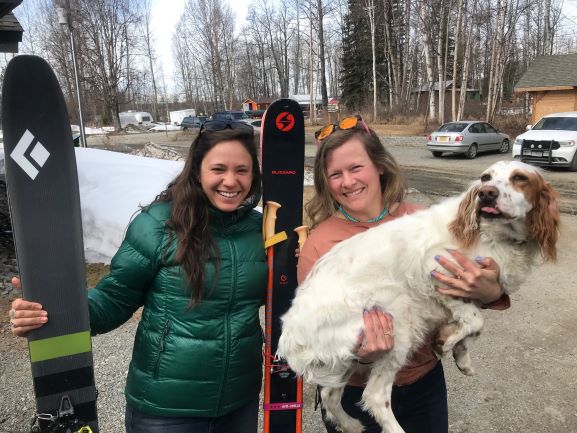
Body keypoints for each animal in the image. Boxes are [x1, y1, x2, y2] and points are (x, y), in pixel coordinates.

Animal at [276, 160, 560, 430]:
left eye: (519, 178)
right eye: (486, 177)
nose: (486, 193)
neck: (494, 235)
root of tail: (289, 336)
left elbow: (474, 329)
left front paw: (460, 355)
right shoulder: (438, 272)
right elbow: (476, 320)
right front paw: (447, 340)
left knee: (329, 394)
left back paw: (350, 425)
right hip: (399, 316)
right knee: (374, 397)